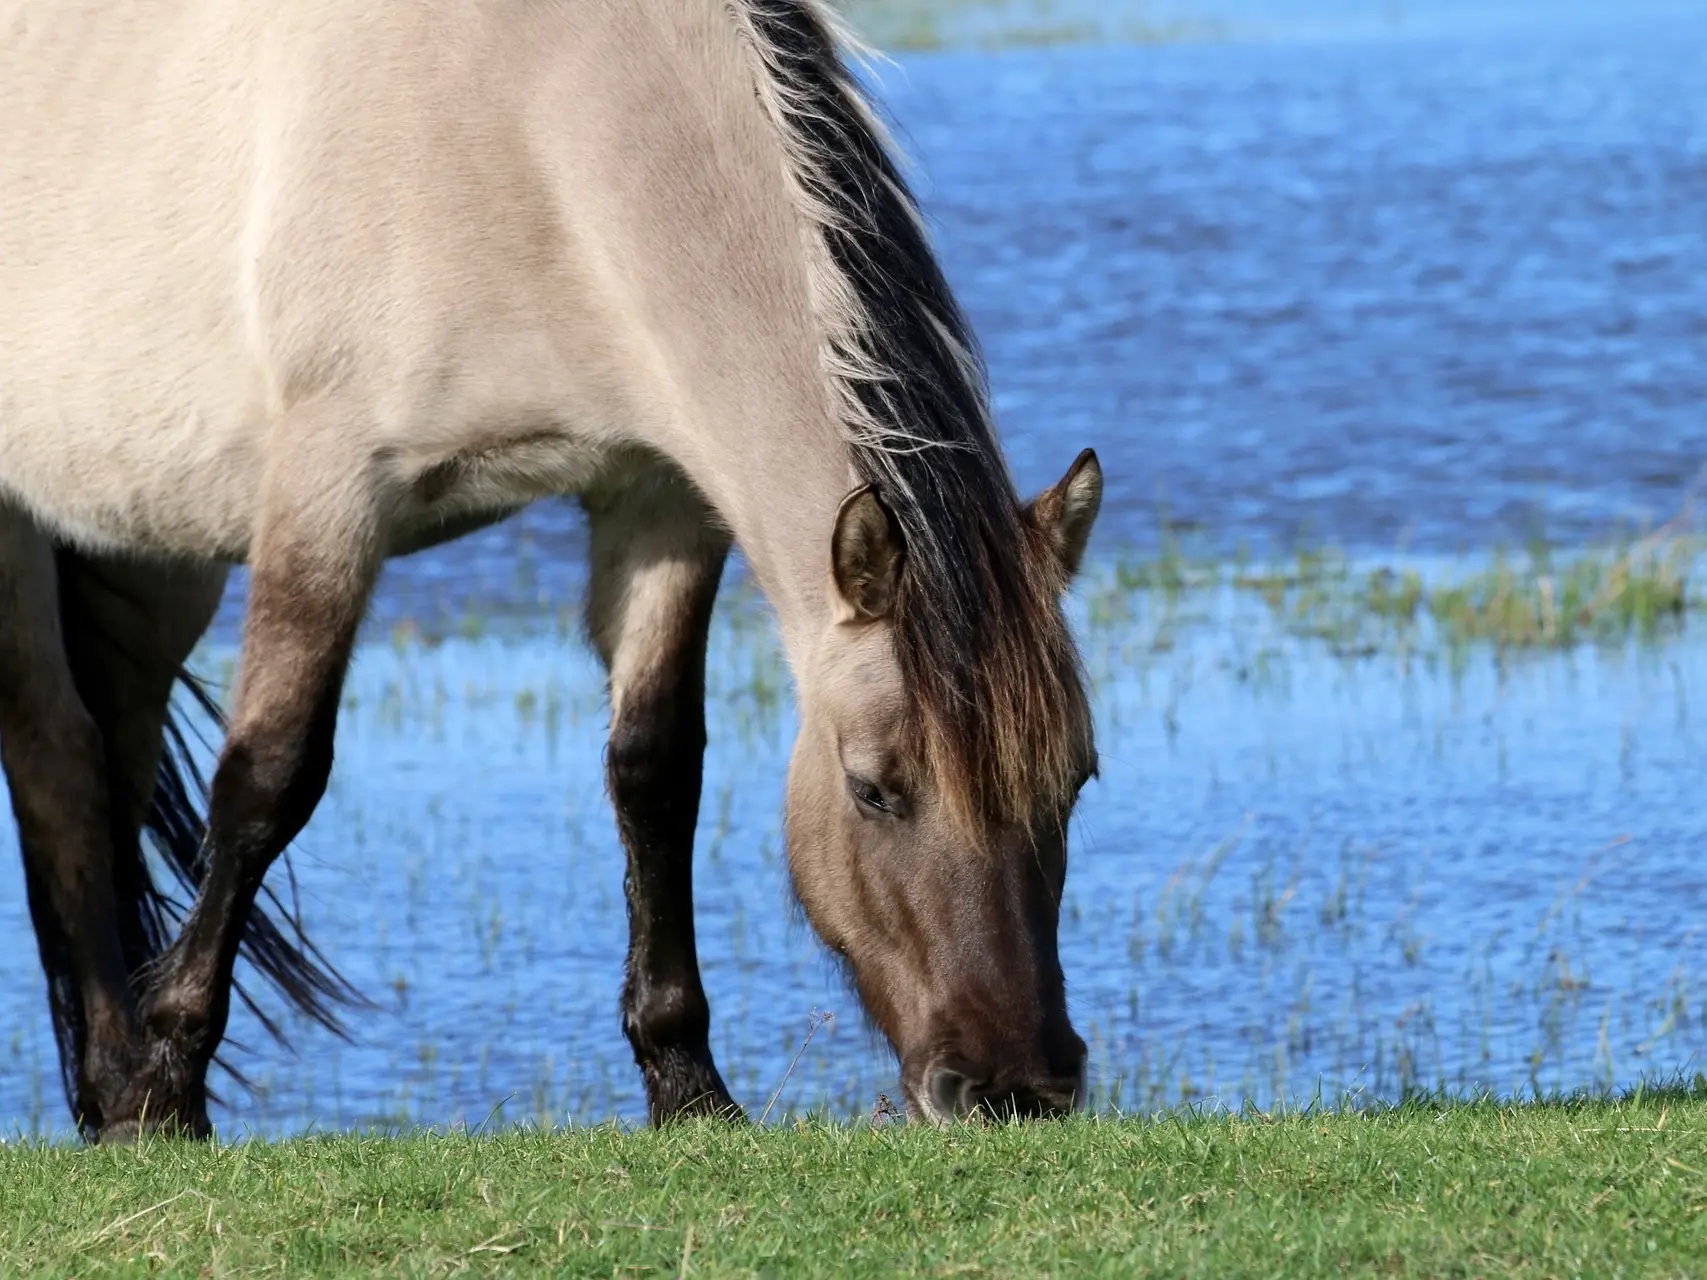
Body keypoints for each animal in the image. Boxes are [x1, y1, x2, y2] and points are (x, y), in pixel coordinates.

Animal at [0, 0, 1106, 1140]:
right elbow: (269, 777)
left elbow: (656, 771)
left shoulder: (659, 500)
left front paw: (689, 1085)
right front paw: (165, 1087)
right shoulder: (327, 491)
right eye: (874, 790)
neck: (538, 114)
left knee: (114, 763)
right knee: (56, 768)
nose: (1016, 1085)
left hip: (147, 554)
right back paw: (120, 1079)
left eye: (1074, 781)